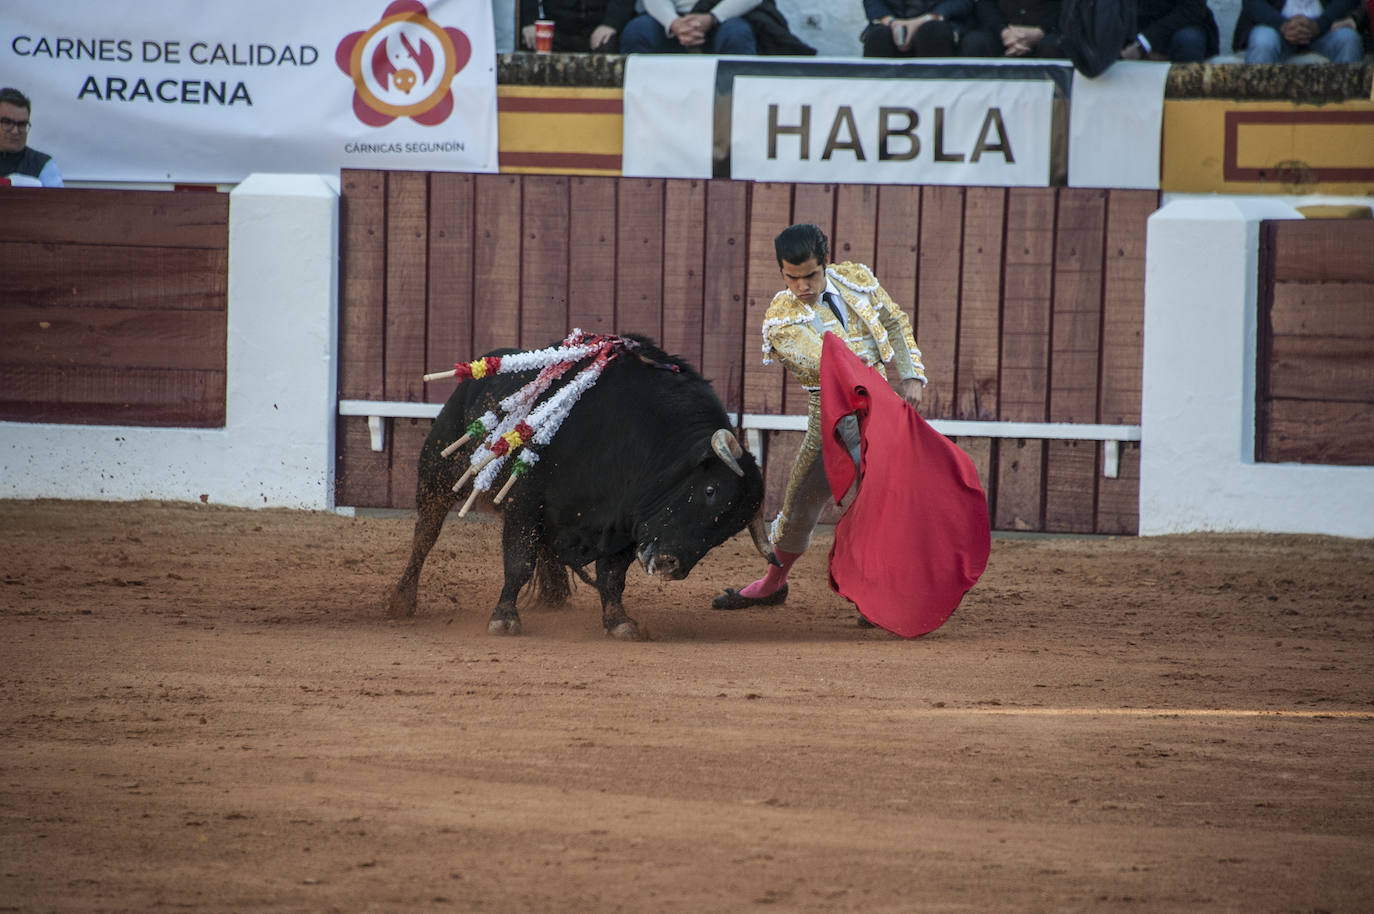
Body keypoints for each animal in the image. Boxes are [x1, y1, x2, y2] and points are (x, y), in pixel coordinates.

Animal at [387, 335, 780, 640]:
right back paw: (401, 601)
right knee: (426, 533)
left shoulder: (626, 524)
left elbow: (612, 576)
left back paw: (554, 597)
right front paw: (504, 619)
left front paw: (619, 622)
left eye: (728, 530)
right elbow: (519, 561)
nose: (671, 566)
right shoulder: (525, 503)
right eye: (710, 490)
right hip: (438, 472)